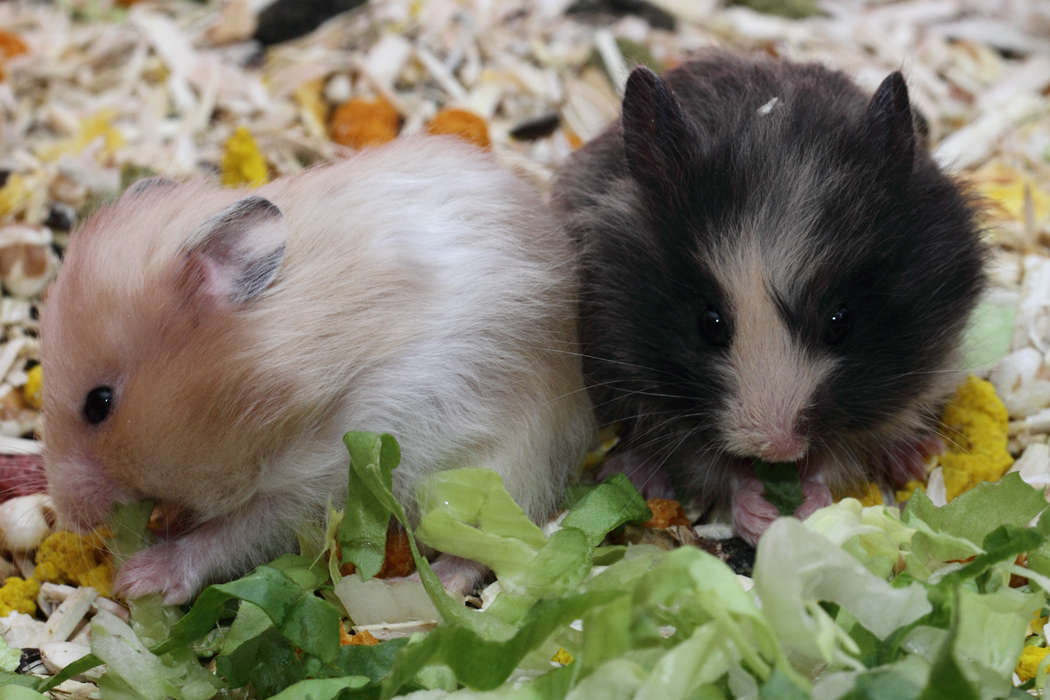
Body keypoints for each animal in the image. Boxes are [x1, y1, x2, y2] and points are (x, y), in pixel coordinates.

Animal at [40, 135, 596, 604]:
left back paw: (420, 587)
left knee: (485, 549)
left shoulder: (312, 481)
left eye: (99, 404)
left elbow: (227, 535)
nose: (67, 516)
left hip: (501, 468)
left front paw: (138, 579)